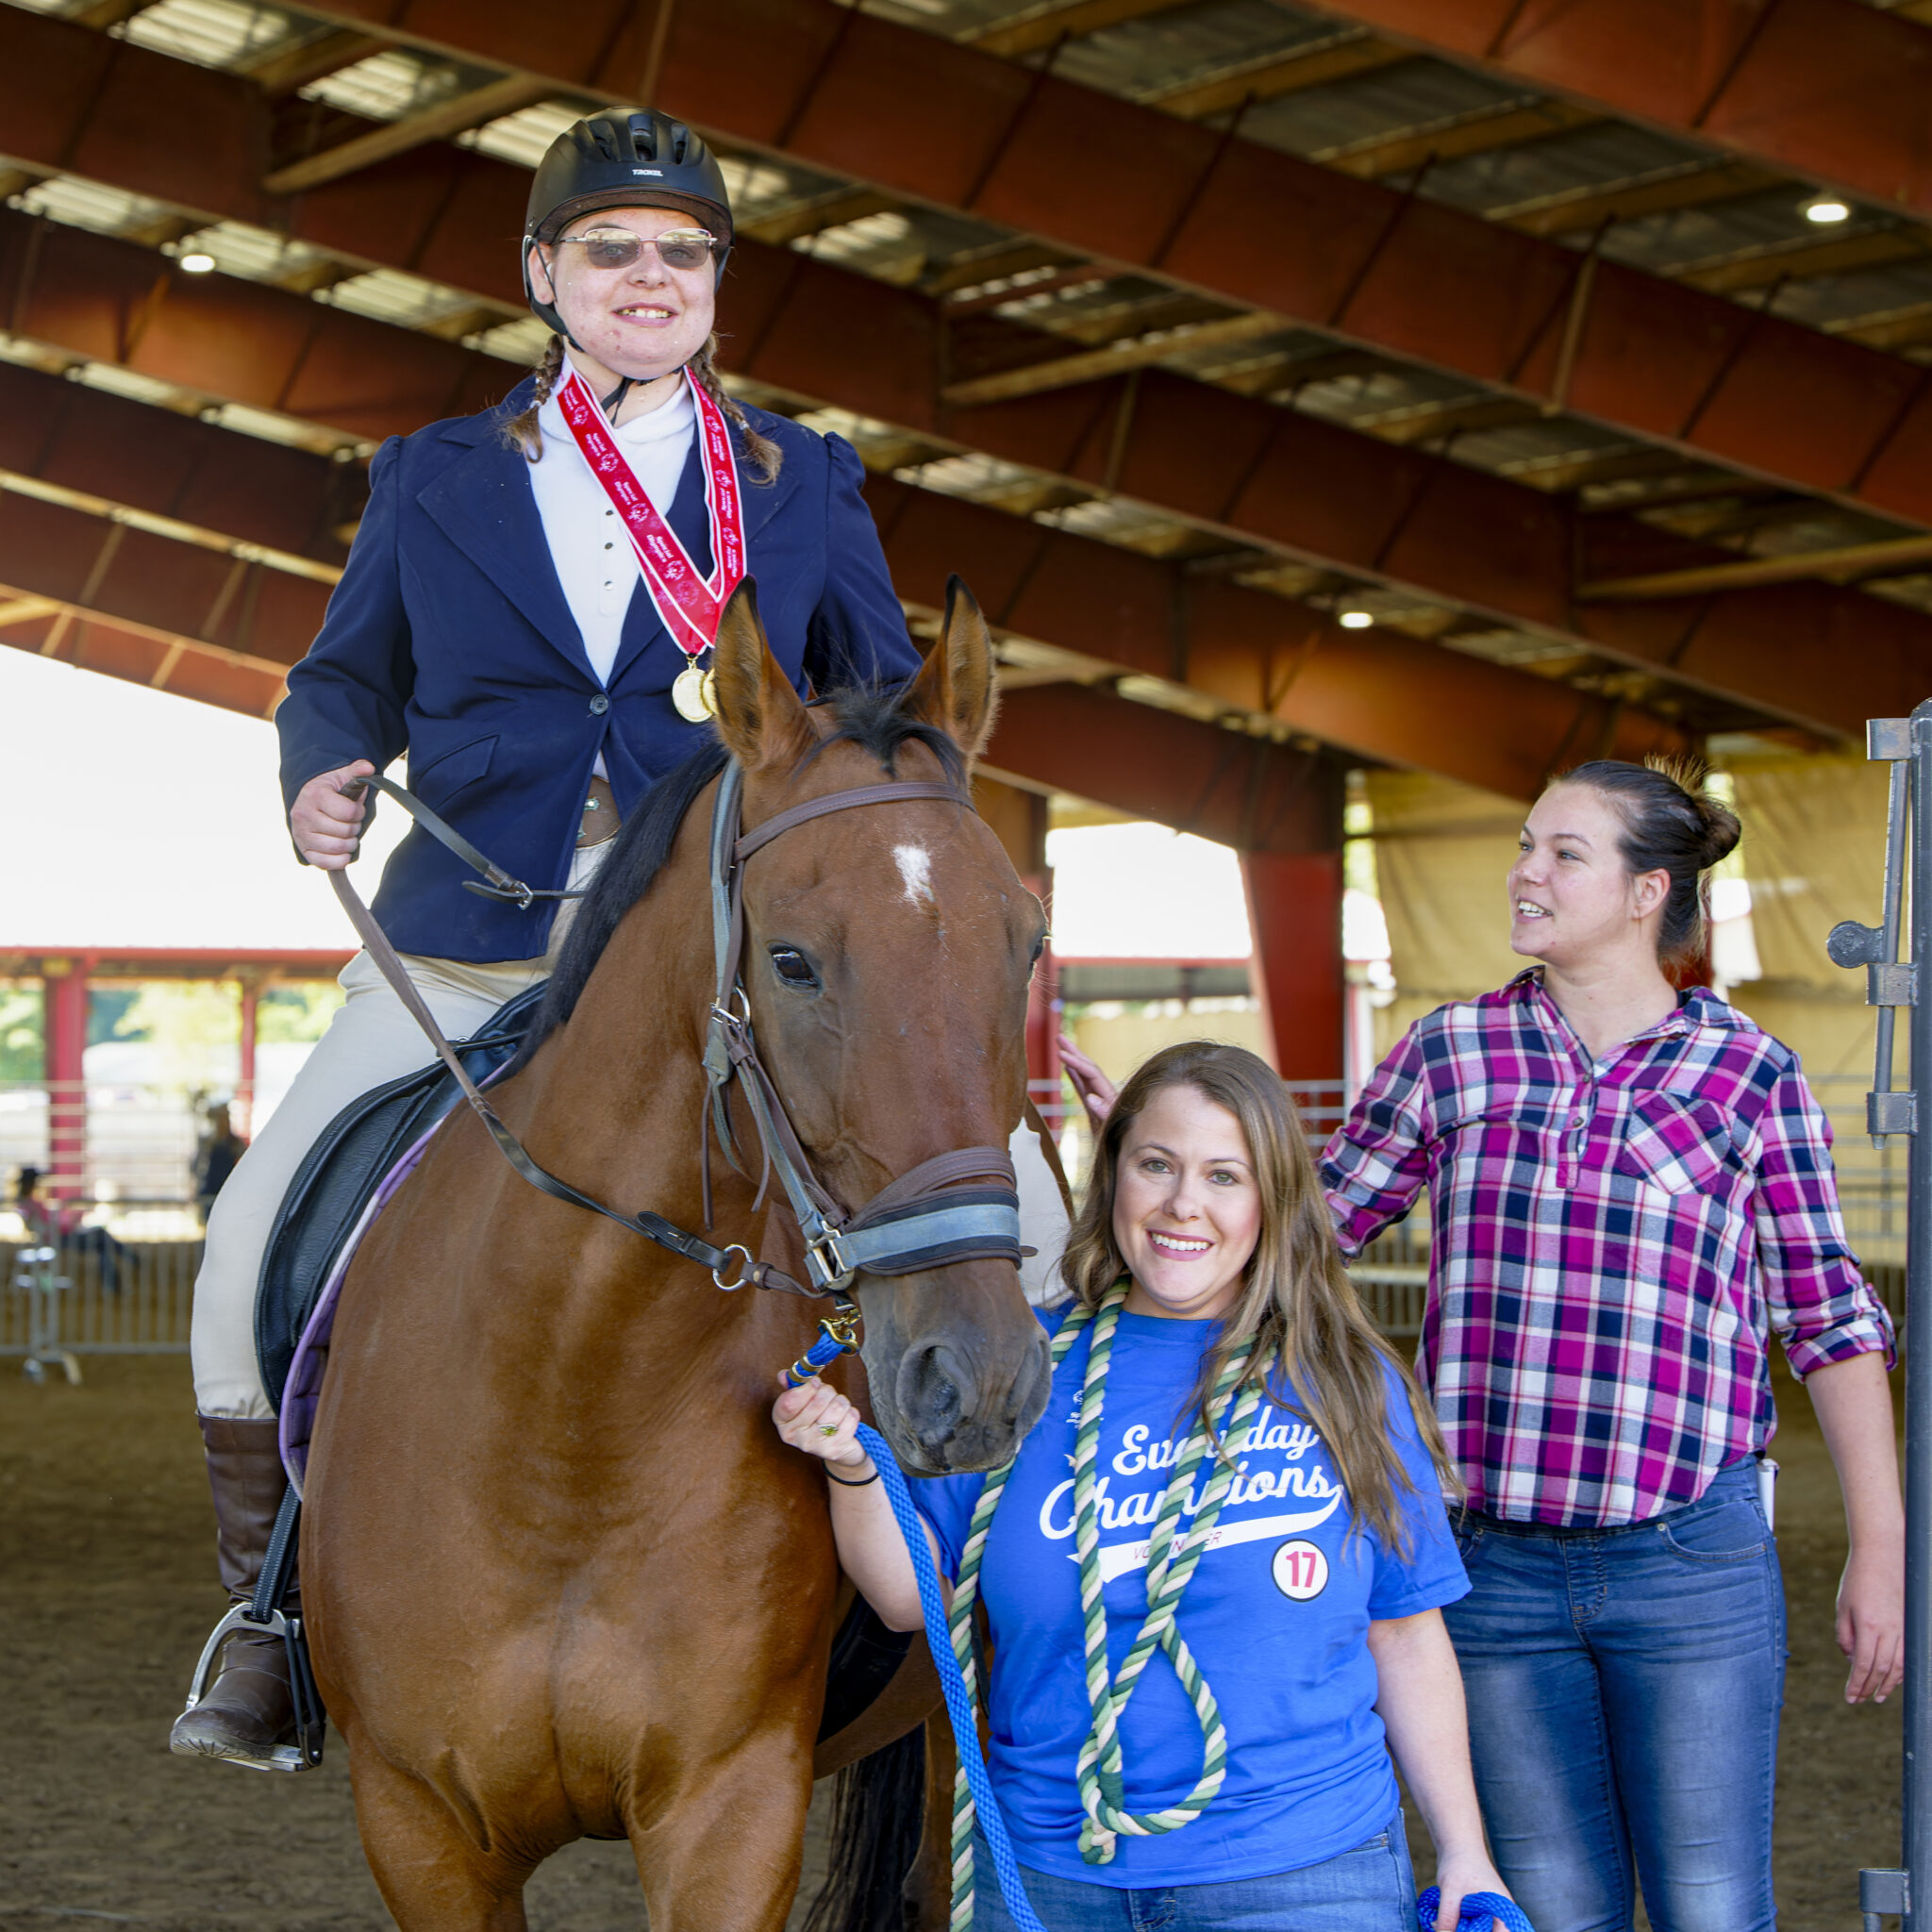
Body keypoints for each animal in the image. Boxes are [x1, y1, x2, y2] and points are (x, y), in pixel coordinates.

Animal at [305, 583, 1058, 1932]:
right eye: (793, 958)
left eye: (1024, 944)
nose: (975, 1381)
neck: (567, 1399)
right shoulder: (419, 1824)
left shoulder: (728, 1807)